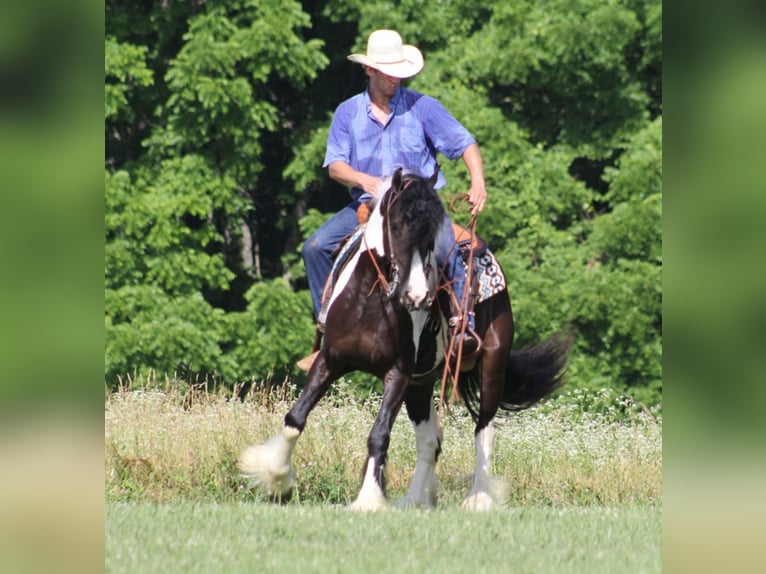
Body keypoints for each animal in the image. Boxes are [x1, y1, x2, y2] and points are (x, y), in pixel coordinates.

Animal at [237, 168, 572, 512]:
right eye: (396, 226)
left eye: (433, 236)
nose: (418, 295)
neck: (369, 302)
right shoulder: (330, 361)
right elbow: (295, 418)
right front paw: (275, 478)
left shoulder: (397, 373)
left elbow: (379, 434)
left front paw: (369, 499)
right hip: (420, 385)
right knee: (430, 442)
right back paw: (415, 500)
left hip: (490, 366)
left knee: (484, 432)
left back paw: (478, 498)